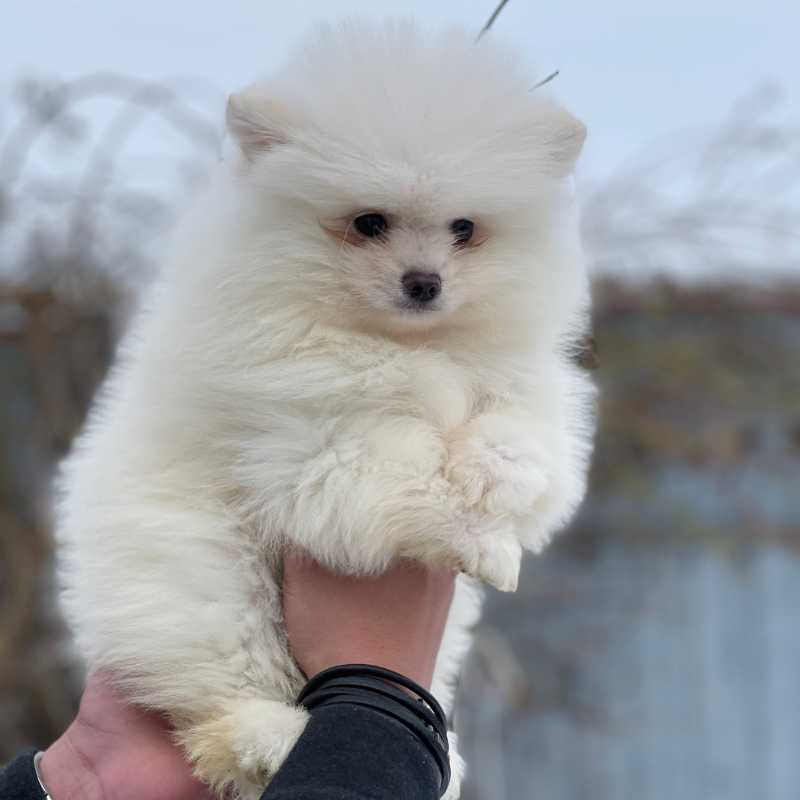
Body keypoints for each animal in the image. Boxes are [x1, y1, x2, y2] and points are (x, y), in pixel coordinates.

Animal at [56, 18, 592, 800]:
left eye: (464, 228)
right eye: (368, 223)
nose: (424, 281)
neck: (397, 343)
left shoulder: (528, 386)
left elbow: (523, 442)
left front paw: (490, 492)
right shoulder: (318, 451)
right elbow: (409, 477)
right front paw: (479, 539)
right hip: (208, 586)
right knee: (220, 701)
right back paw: (273, 739)